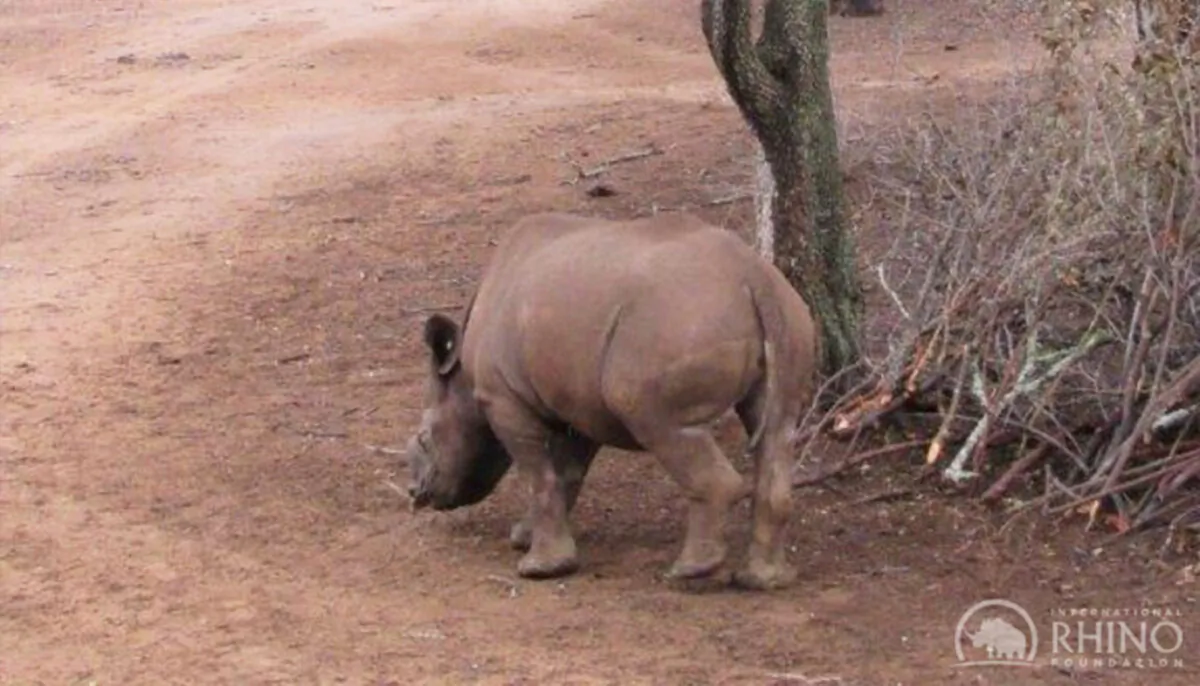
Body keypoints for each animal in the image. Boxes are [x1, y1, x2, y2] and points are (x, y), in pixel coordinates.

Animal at [404, 212, 818, 590]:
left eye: (424, 438)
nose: (415, 494)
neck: (462, 377)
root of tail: (753, 277)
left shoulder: (503, 400)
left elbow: (539, 475)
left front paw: (539, 568)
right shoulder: (576, 402)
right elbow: (566, 473)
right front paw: (525, 538)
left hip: (674, 324)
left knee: (663, 424)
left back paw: (689, 572)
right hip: (789, 316)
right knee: (776, 428)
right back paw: (764, 580)